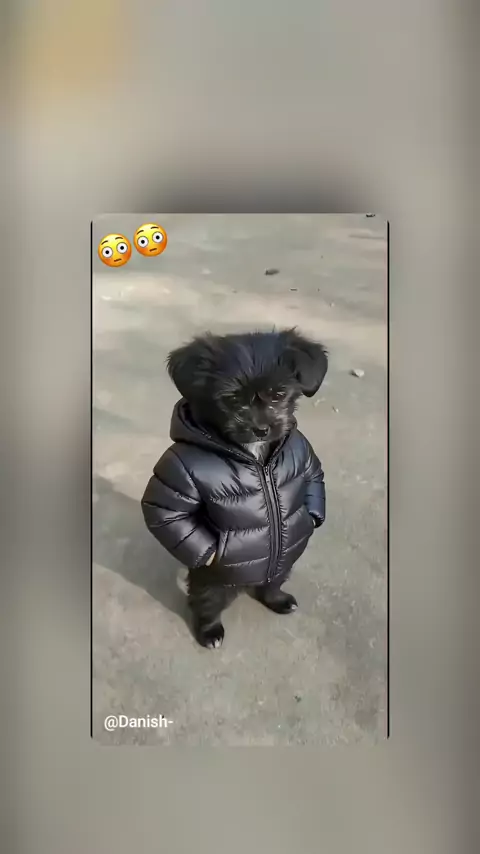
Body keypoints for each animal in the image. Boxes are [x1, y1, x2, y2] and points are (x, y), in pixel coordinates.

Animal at [141, 328, 328, 648]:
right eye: (231, 399)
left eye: (279, 395)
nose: (261, 429)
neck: (256, 457)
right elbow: (168, 511)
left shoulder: (305, 456)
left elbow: (313, 476)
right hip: (212, 578)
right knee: (205, 598)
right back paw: (209, 631)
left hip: (284, 559)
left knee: (276, 577)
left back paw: (276, 598)